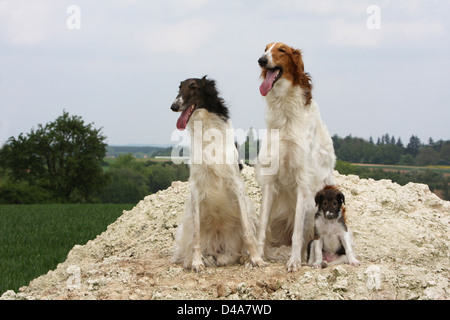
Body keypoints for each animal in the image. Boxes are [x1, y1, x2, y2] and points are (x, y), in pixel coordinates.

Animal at [171, 76, 264, 272]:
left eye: (194, 86)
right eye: (179, 88)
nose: (173, 106)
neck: (207, 132)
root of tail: (219, 248)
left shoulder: (236, 184)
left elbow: (247, 232)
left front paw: (256, 259)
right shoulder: (195, 187)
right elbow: (196, 237)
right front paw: (197, 263)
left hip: (249, 209)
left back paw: (244, 257)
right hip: (187, 222)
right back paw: (191, 260)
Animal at [255, 42, 336, 272]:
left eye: (281, 50)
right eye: (265, 48)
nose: (261, 60)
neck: (285, 113)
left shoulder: (303, 181)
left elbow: (297, 235)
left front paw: (293, 262)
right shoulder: (270, 178)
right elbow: (261, 227)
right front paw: (256, 257)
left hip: (313, 210)